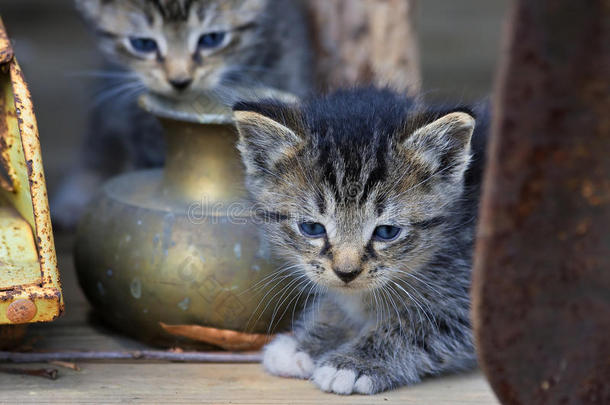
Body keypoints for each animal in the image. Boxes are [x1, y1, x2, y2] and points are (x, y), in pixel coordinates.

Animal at [230, 88, 486, 394]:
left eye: (386, 232)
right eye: (312, 228)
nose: (346, 272)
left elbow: (418, 324)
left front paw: (353, 364)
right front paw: (309, 341)